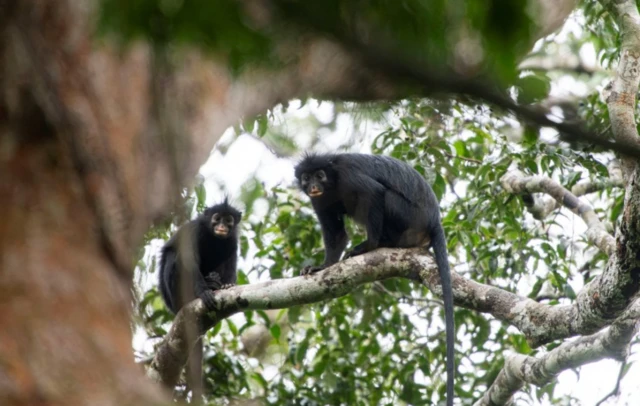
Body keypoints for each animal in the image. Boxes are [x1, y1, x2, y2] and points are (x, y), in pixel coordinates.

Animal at [294, 153, 455, 406]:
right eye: (306, 178)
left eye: (319, 175)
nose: (313, 186)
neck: (333, 182)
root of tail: (434, 219)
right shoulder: (319, 201)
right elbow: (336, 234)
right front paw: (323, 266)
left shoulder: (348, 174)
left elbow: (375, 193)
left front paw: (369, 246)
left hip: (408, 215)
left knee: (385, 196)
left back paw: (380, 243)